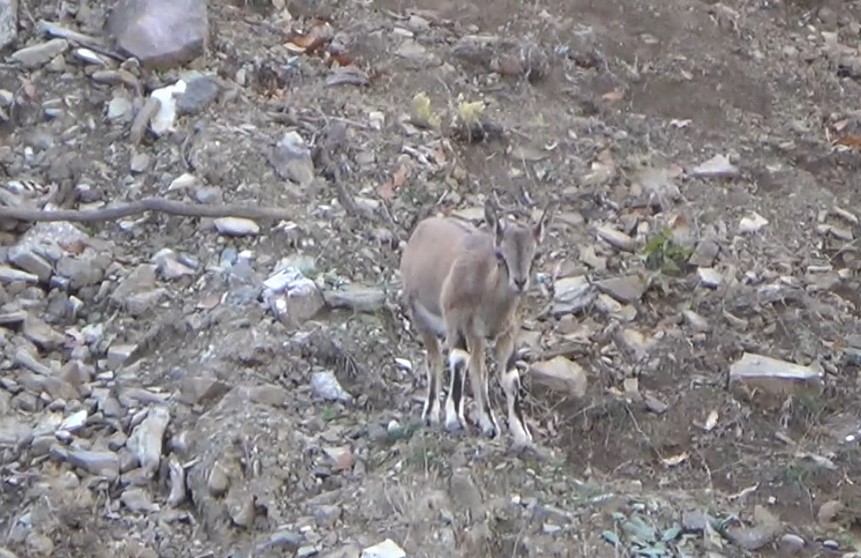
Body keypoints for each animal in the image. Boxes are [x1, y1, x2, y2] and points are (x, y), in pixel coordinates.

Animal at [402, 199, 556, 448]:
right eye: (500, 255)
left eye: (535, 256)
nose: (520, 282)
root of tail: (421, 229)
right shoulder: (455, 320)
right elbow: (458, 360)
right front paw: (454, 419)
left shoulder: (505, 333)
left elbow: (509, 377)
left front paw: (521, 433)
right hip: (420, 316)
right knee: (435, 359)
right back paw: (431, 414)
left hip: (475, 335)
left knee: (477, 369)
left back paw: (489, 423)